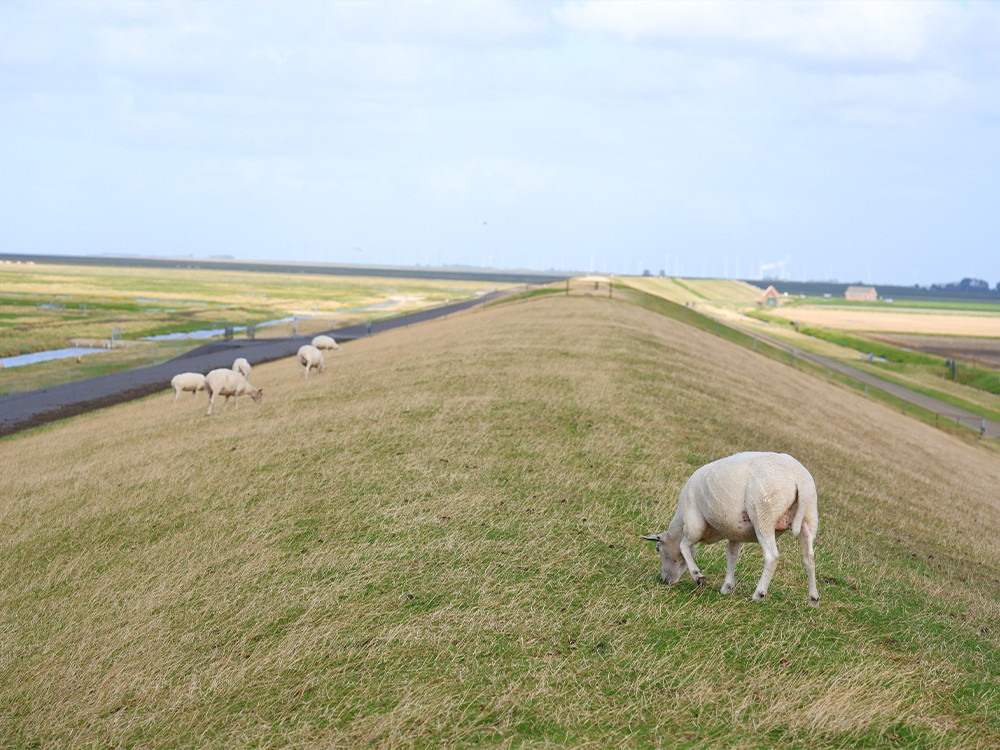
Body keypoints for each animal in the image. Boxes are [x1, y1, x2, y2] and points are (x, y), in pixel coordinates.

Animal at [640, 452, 820, 604]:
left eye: (658, 549)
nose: (665, 581)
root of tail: (798, 477)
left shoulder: (694, 523)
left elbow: (684, 547)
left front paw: (698, 577)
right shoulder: (734, 533)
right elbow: (731, 556)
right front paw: (727, 587)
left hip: (764, 514)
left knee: (772, 556)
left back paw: (759, 594)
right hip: (809, 518)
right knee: (809, 558)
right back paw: (813, 599)